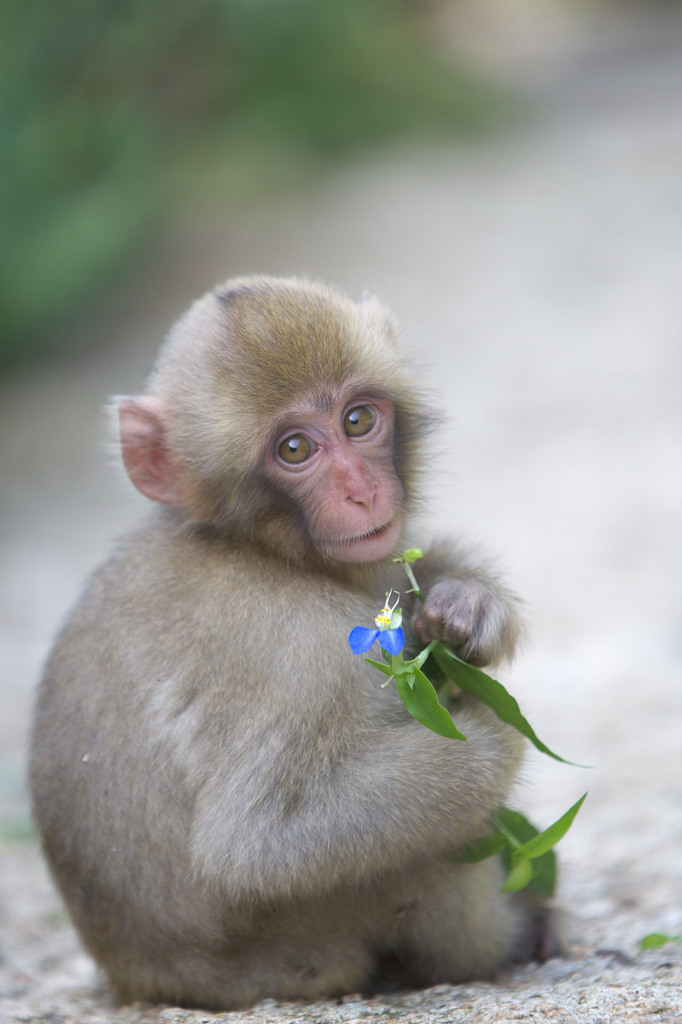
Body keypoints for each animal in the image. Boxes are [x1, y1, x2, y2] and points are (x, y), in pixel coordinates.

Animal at [31, 276, 544, 1011]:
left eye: (358, 421)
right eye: (295, 450)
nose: (361, 492)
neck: (254, 547)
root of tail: (143, 978)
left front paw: (468, 606)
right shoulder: (293, 655)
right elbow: (258, 847)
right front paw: (491, 738)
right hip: (307, 947)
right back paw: (504, 941)